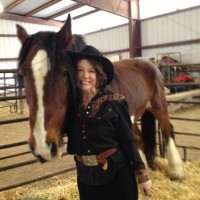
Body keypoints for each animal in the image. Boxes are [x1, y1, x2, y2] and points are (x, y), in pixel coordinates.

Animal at [16, 14, 184, 180]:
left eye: (64, 72)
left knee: (167, 129)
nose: (42, 147)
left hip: (158, 103)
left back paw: (176, 170)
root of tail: (151, 64)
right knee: (137, 137)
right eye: (22, 73)